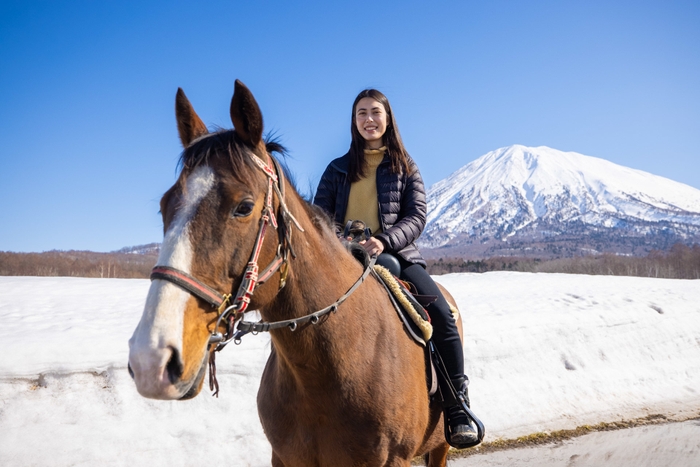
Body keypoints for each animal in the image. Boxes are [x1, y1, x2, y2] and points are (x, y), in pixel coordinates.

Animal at [127, 80, 464, 467]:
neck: (326, 368)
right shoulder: (285, 457)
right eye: (164, 205)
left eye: (244, 206)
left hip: (439, 447)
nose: (152, 359)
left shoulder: (394, 460)